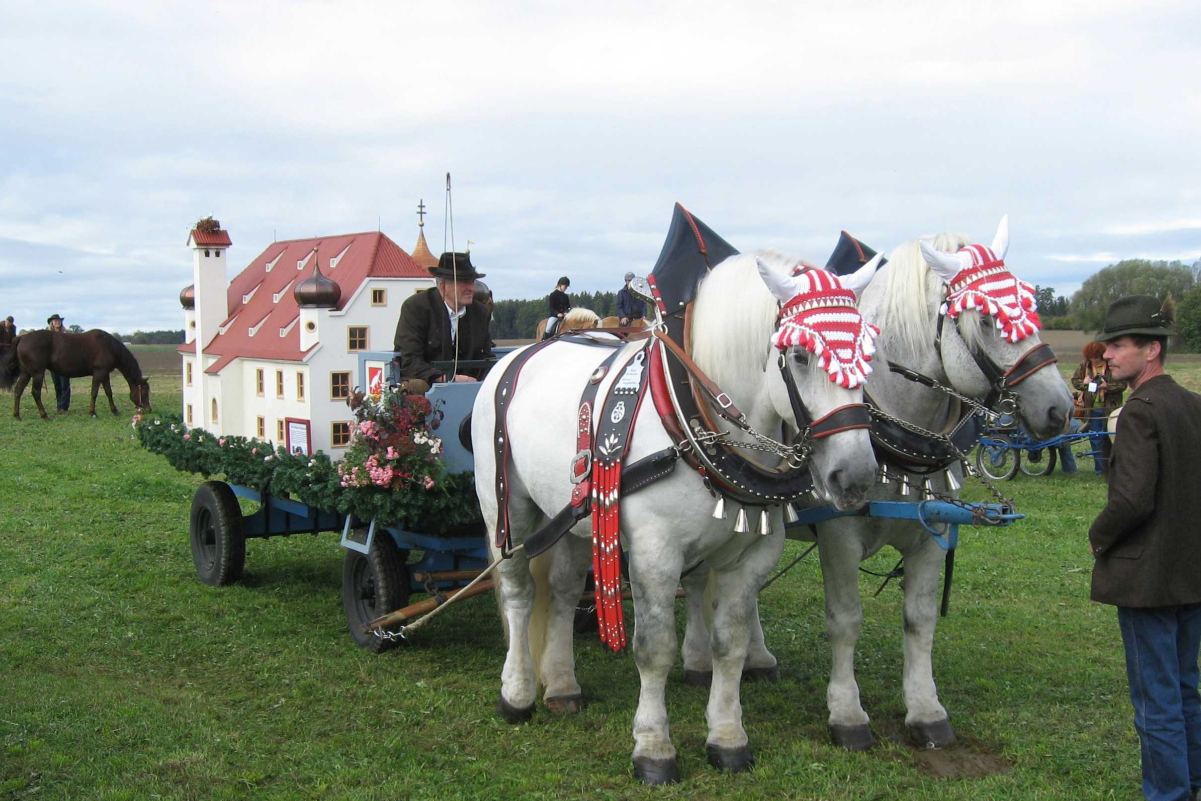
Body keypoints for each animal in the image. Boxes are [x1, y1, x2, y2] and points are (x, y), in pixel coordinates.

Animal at [0, 331, 152, 422]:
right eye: (144, 392)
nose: (149, 409)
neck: (109, 346)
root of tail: (22, 337)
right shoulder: (99, 373)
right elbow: (94, 393)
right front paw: (93, 413)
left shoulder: (105, 374)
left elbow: (109, 392)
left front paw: (115, 411)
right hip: (37, 373)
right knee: (36, 393)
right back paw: (45, 416)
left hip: (26, 373)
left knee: (18, 391)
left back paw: (17, 416)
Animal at [473, 250, 879, 782]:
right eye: (801, 356)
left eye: (870, 355)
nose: (857, 476)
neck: (696, 414)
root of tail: (514, 359)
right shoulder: (654, 553)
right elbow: (655, 648)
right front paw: (653, 746)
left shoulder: (751, 556)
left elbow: (730, 642)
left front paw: (727, 737)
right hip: (507, 508)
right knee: (519, 595)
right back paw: (517, 692)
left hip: (577, 519)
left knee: (561, 593)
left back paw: (562, 686)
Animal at [682, 217, 1076, 754]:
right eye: (987, 320)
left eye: (1032, 305)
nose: (1060, 408)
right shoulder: (839, 535)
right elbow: (846, 620)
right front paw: (847, 713)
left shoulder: (932, 532)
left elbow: (920, 619)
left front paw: (926, 709)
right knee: (697, 578)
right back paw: (697, 657)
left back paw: (757, 656)